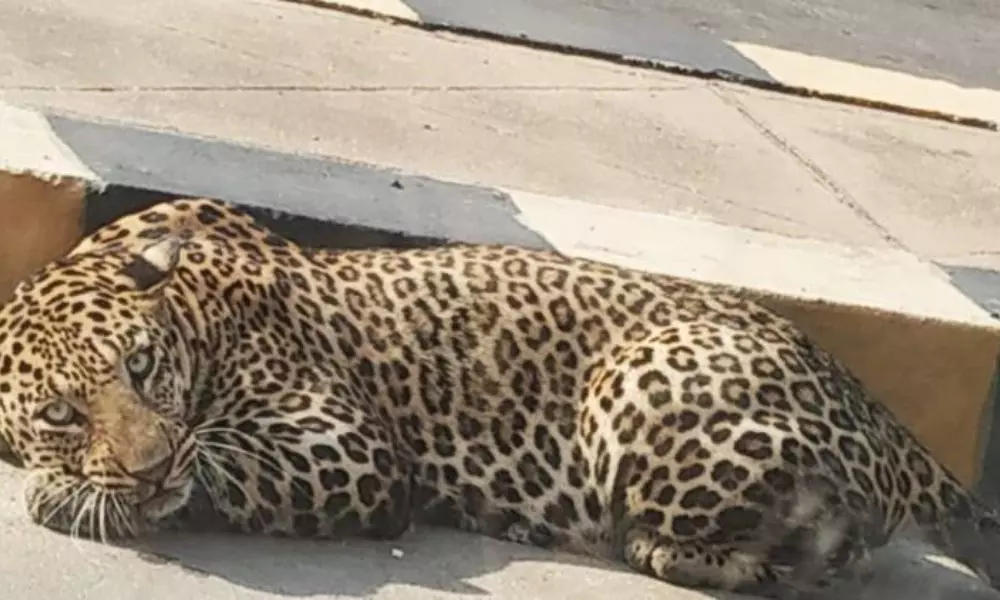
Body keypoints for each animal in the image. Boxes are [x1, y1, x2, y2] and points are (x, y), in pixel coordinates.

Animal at [0, 197, 998, 598]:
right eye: (60, 412)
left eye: (140, 365)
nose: (150, 463)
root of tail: (884, 419)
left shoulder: (345, 449)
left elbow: (219, 466)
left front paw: (70, 496)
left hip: (638, 380)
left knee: (827, 551)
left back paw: (668, 550)